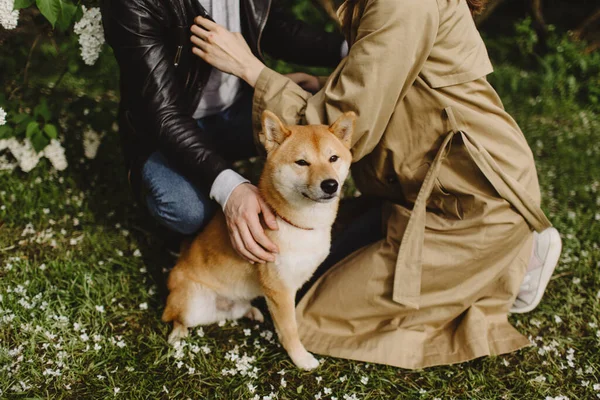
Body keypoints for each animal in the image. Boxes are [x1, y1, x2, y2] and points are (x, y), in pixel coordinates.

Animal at [162, 110, 354, 372]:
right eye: (302, 162)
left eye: (333, 158)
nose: (330, 184)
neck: (299, 224)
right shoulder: (279, 288)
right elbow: (289, 329)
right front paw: (301, 358)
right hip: (191, 305)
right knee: (176, 317)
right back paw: (178, 333)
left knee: (231, 312)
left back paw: (250, 311)